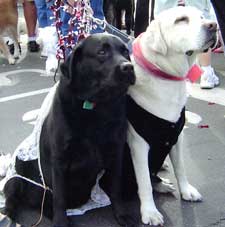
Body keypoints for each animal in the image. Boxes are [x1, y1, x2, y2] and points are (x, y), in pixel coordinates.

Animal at [3, 33, 135, 227]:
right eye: (101, 52)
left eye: (125, 52)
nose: (128, 67)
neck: (96, 107)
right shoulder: (60, 159)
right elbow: (59, 196)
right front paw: (60, 222)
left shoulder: (116, 153)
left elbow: (116, 187)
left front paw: (122, 214)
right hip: (17, 172)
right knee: (12, 197)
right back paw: (8, 215)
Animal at [125, 6, 217, 226]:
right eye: (181, 20)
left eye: (202, 17)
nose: (214, 25)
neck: (166, 77)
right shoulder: (138, 144)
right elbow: (144, 180)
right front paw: (149, 212)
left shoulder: (176, 136)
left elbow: (181, 167)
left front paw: (186, 190)